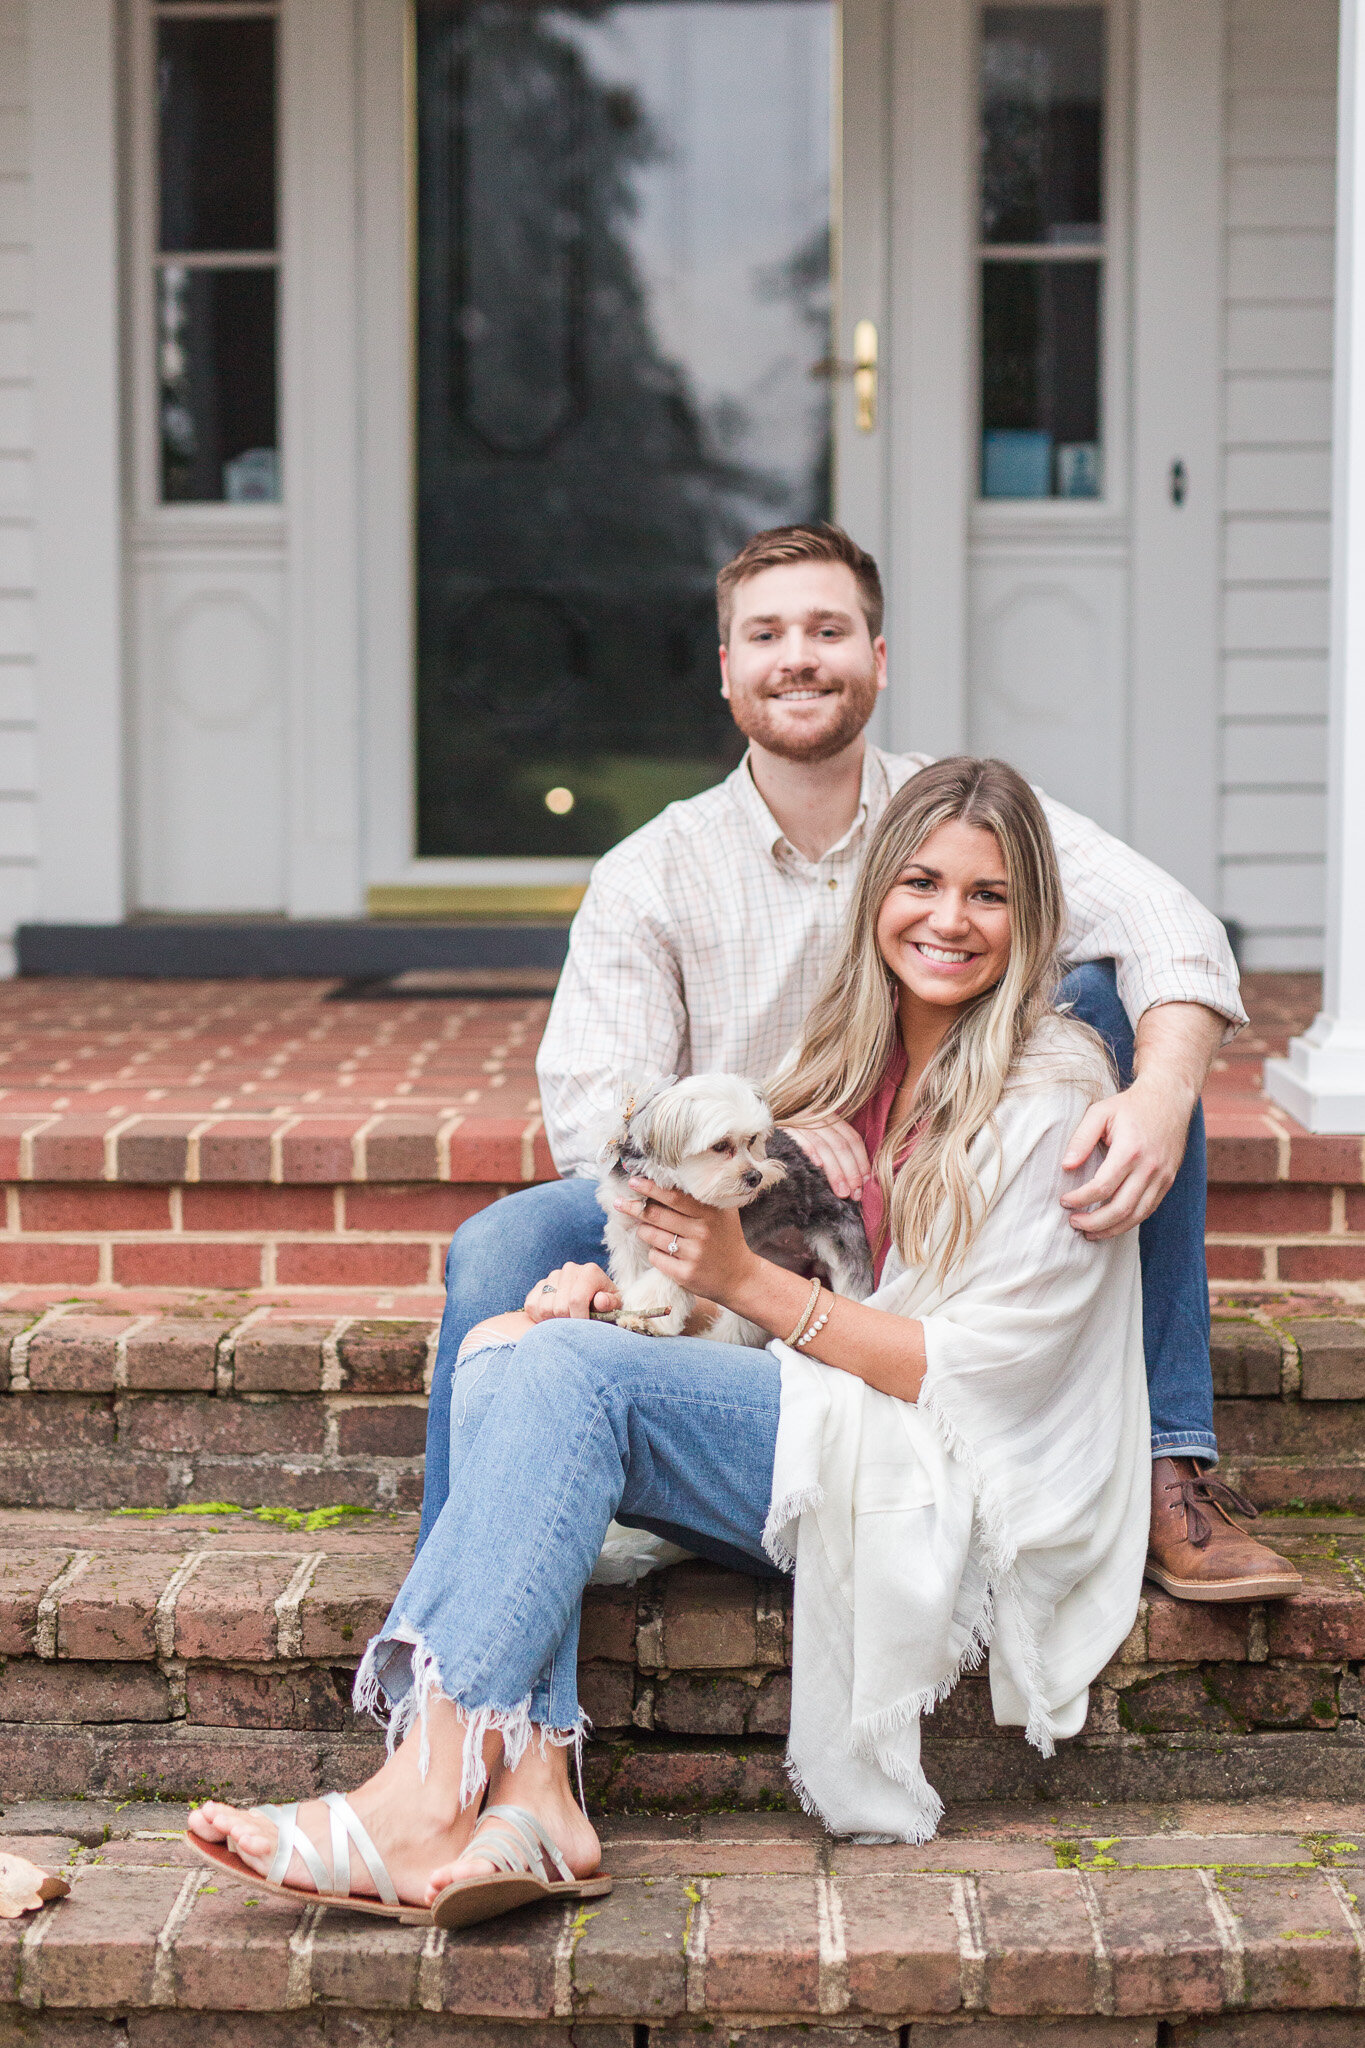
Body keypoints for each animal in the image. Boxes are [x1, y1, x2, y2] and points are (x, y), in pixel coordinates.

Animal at [597, 1073, 875, 1343]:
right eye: (720, 1146)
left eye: (752, 1139)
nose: (755, 1177)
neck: (667, 1183)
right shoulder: (628, 1232)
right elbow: (633, 1270)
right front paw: (632, 1315)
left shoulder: (688, 1245)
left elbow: (663, 1280)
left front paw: (648, 1317)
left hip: (839, 1241)